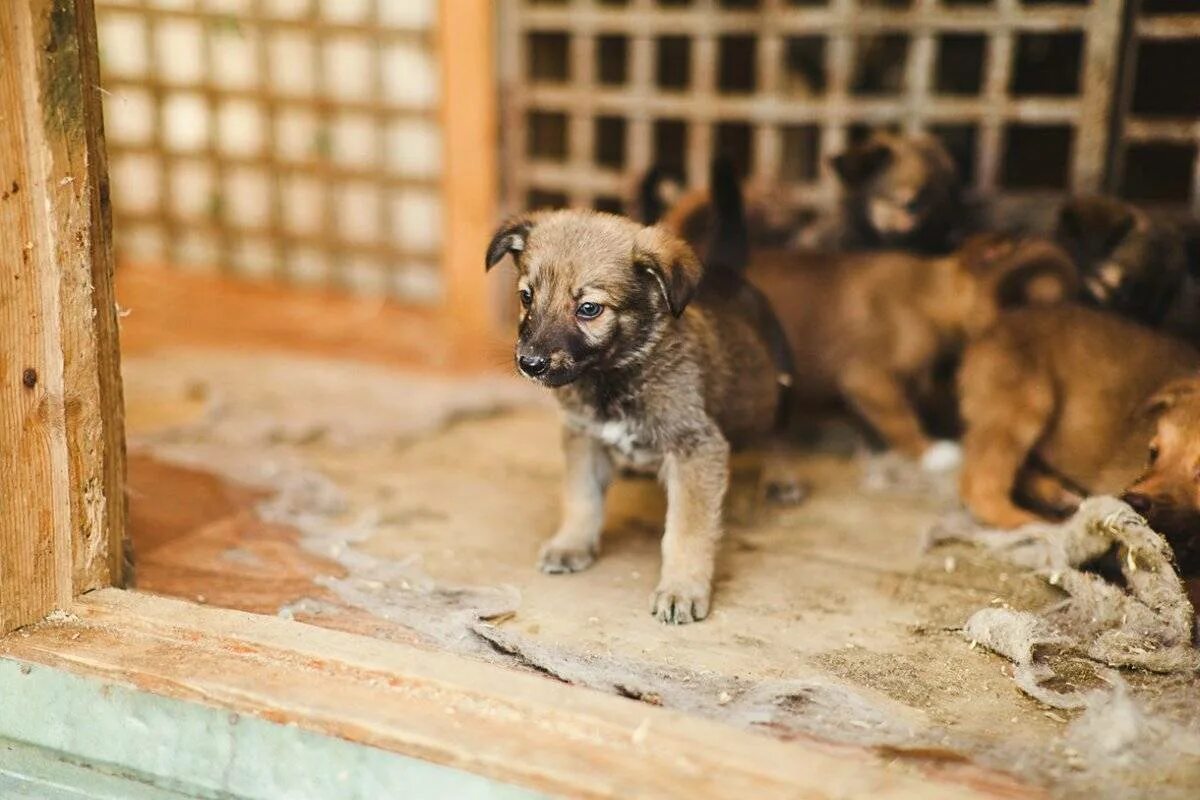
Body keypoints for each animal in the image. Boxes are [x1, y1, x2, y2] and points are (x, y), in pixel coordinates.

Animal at [482, 160, 792, 623]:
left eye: (589, 309)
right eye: (526, 297)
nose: (529, 363)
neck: (615, 375)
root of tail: (727, 271)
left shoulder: (696, 448)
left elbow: (686, 530)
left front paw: (681, 589)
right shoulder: (584, 438)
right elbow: (582, 498)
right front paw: (571, 544)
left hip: (782, 383)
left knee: (778, 434)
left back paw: (778, 478)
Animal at [955, 307, 1200, 563]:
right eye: (1153, 452)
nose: (1131, 501)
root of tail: (995, 325)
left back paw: (1056, 496)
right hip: (1024, 407)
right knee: (979, 484)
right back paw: (1032, 523)